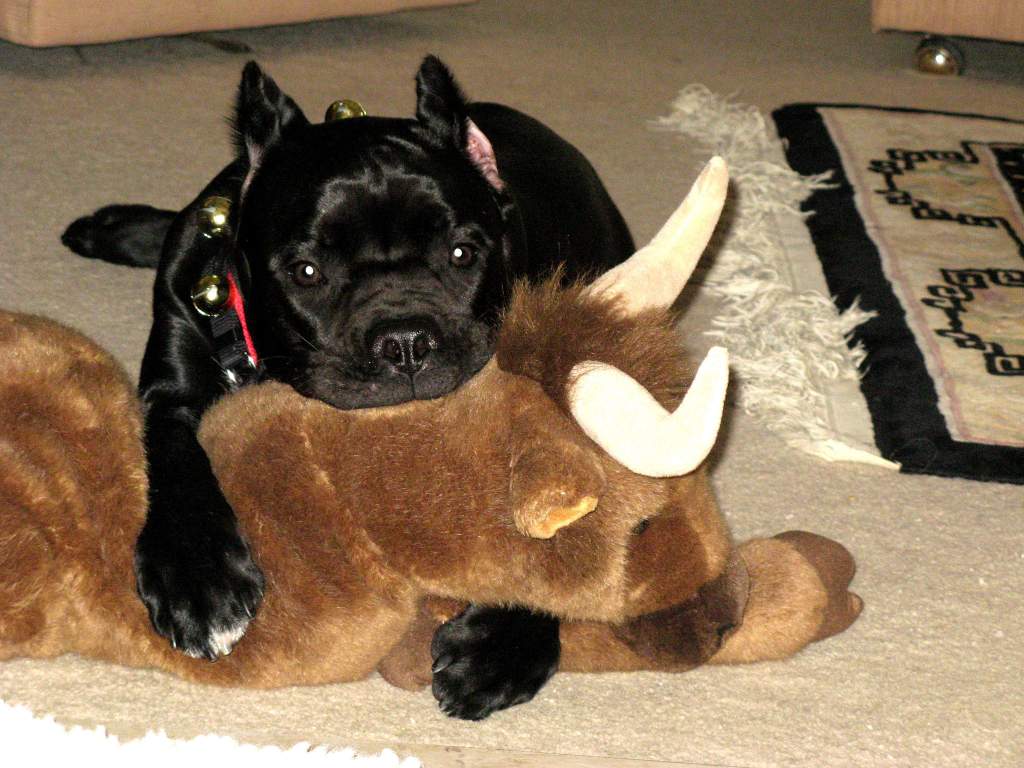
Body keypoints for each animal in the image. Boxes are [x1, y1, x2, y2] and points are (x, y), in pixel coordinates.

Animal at [64, 55, 630, 720]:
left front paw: (503, 644)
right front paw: (197, 578)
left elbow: (557, 529)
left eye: (463, 254)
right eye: (307, 272)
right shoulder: (171, 395)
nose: (405, 340)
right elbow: (178, 463)